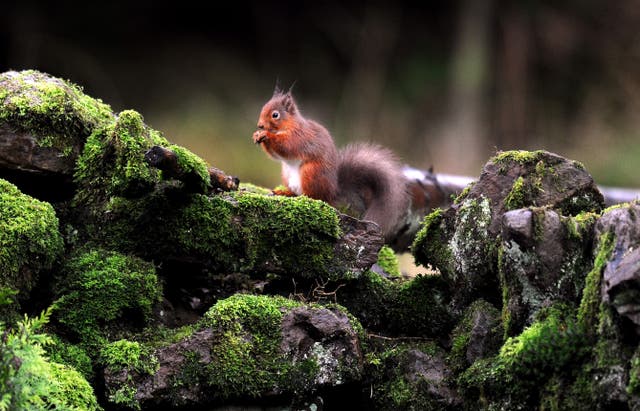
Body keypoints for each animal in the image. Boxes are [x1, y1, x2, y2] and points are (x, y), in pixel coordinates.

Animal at [251, 89, 408, 241]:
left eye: (275, 115)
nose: (260, 125)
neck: (288, 125)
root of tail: (332, 193)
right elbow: (276, 155)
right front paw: (257, 134)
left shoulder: (300, 137)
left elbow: (286, 146)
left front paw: (266, 135)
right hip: (286, 174)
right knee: (297, 192)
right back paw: (285, 192)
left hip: (310, 173)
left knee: (315, 197)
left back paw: (303, 198)